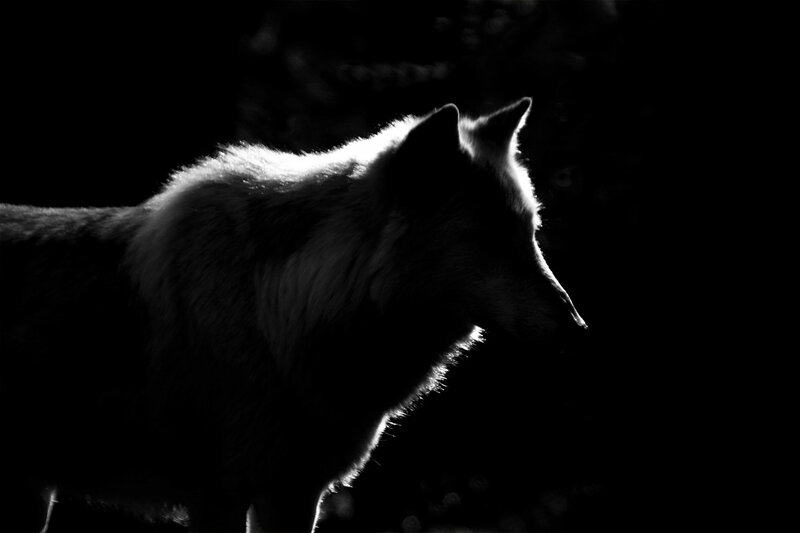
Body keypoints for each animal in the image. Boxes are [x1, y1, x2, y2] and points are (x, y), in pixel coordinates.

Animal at [0, 98, 586, 532]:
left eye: (529, 234)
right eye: (488, 241)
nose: (577, 329)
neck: (280, 311)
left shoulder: (297, 495)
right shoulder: (220, 497)